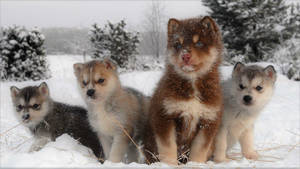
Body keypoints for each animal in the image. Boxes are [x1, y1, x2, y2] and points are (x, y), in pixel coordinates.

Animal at [143, 16, 223, 165]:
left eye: (199, 43)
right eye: (178, 45)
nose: (185, 56)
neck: (192, 82)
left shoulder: (208, 120)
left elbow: (200, 148)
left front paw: (196, 165)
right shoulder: (165, 115)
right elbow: (168, 146)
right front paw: (169, 165)